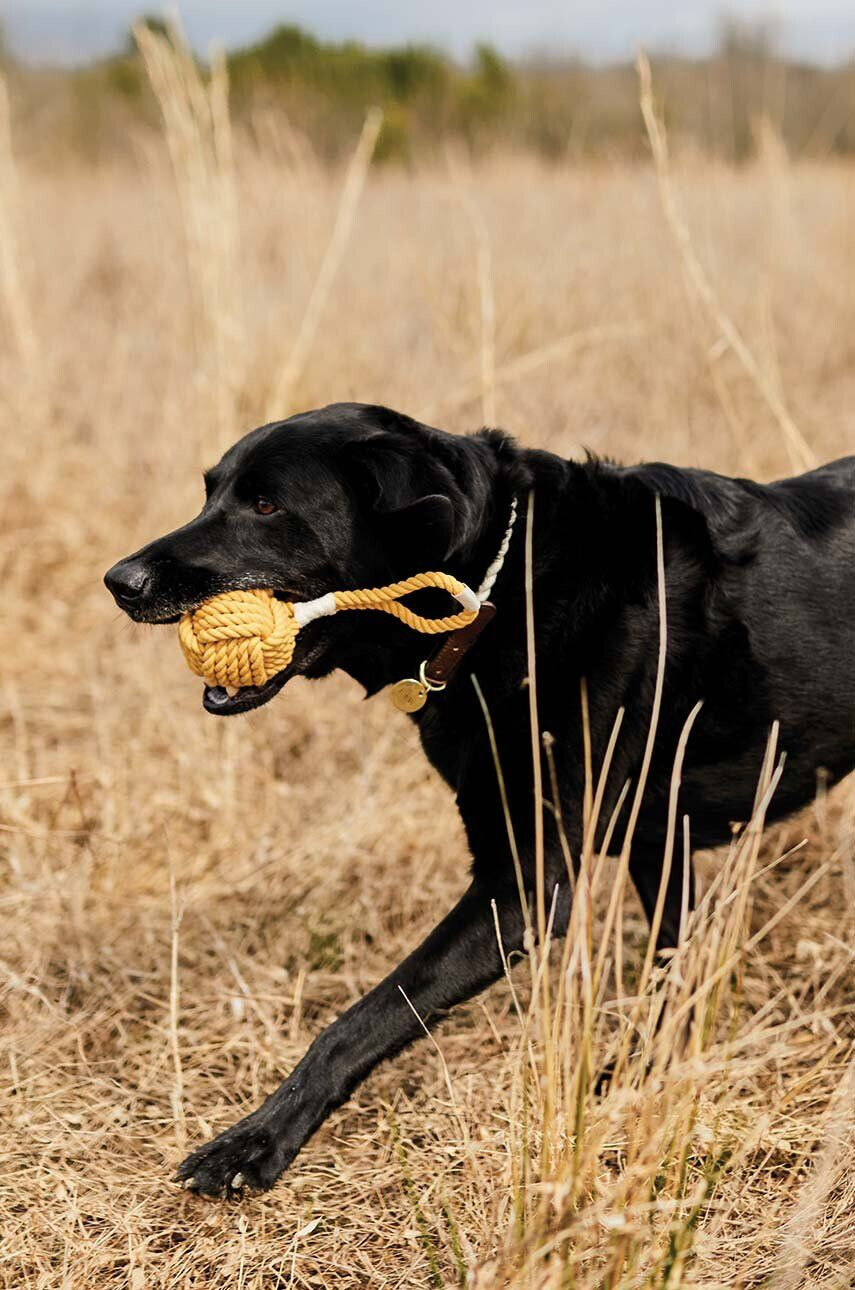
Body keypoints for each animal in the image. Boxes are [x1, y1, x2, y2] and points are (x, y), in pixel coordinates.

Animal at [107, 405, 855, 1197]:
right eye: (211, 492)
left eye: (266, 505)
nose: (118, 580)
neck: (504, 590)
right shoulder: (656, 838)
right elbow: (672, 965)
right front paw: (644, 1075)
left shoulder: (524, 886)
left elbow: (363, 1017)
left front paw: (256, 1141)